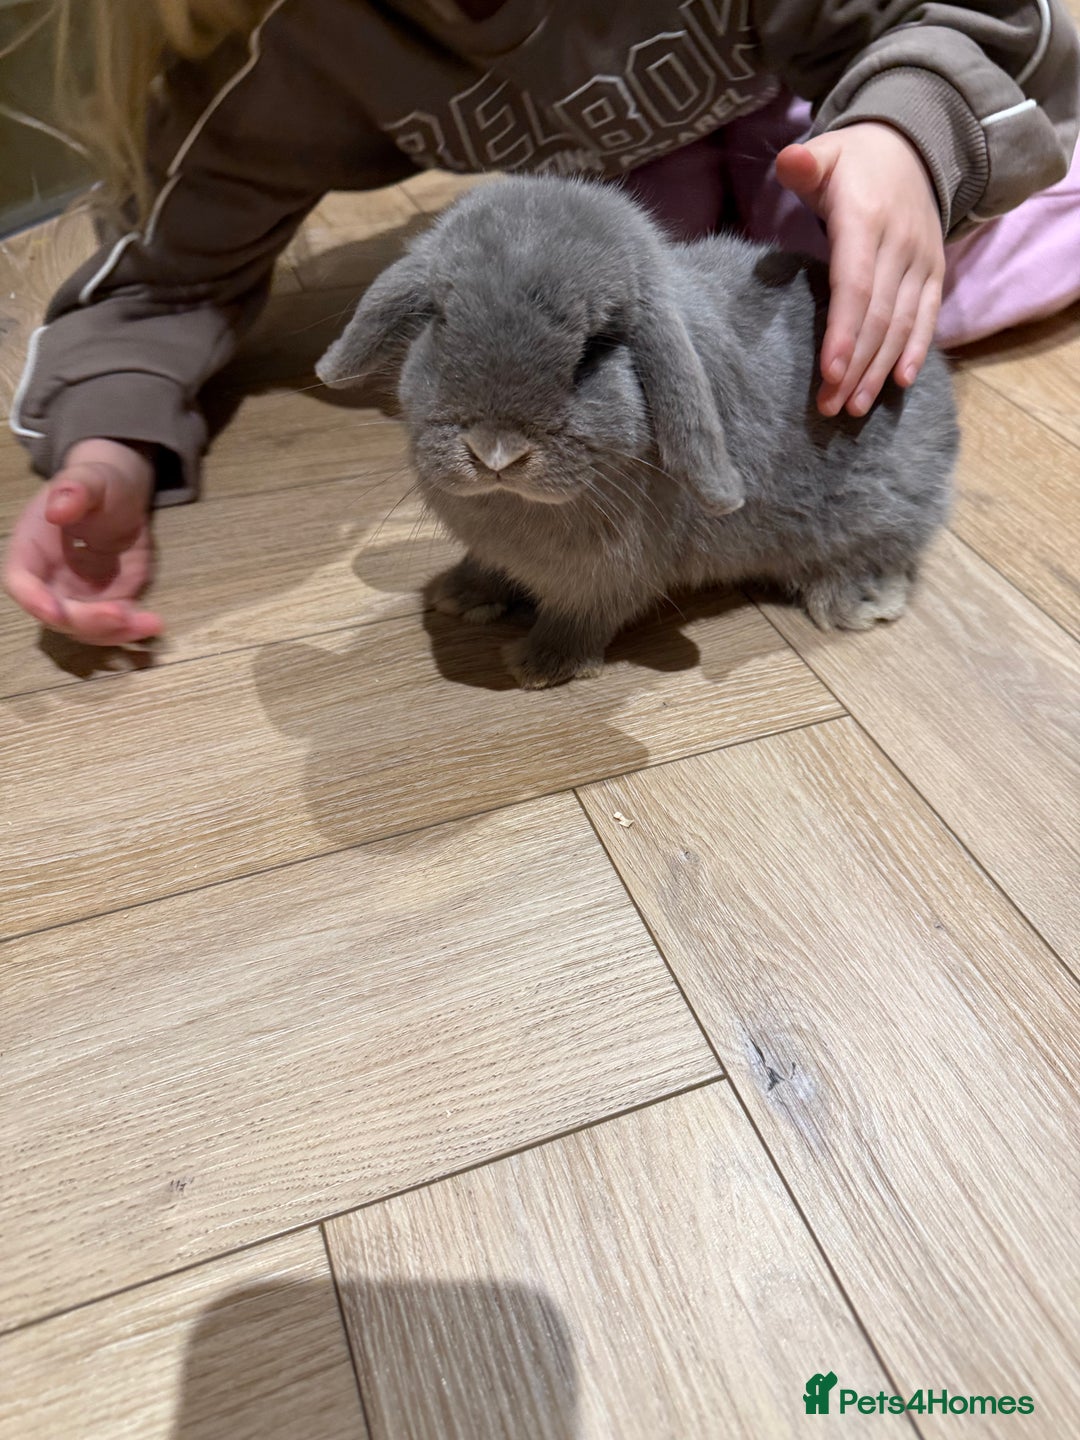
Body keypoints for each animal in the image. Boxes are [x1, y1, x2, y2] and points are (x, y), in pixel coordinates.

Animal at [316, 174, 957, 689]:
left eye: (593, 352)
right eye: (442, 324)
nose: (495, 453)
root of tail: (930, 373)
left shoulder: (610, 578)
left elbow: (579, 620)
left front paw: (537, 667)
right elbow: (487, 566)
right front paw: (460, 595)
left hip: (870, 517)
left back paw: (858, 602)